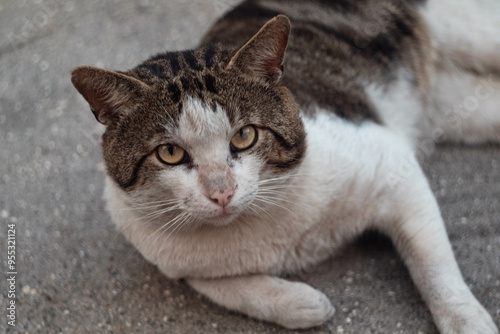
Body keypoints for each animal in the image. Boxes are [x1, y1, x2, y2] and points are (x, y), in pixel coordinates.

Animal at [70, 0, 500, 332]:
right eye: (170, 153)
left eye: (245, 135)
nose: (222, 192)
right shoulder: (171, 258)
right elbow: (224, 286)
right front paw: (301, 303)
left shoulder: (394, 167)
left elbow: (434, 269)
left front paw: (467, 321)